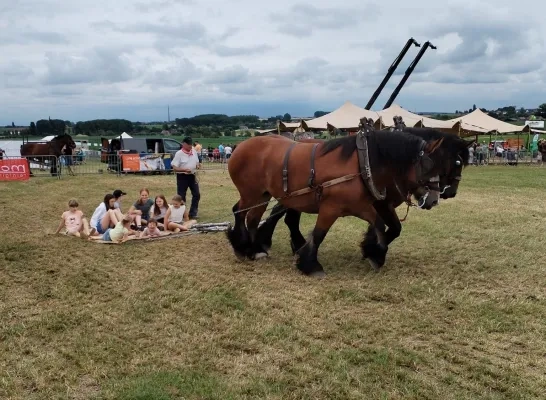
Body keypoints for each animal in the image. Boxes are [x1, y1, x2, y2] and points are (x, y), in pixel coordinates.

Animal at [225, 130, 446, 276]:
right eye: (429, 167)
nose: (435, 199)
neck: (362, 164)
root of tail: (240, 146)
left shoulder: (361, 206)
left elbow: (380, 226)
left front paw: (375, 253)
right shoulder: (330, 208)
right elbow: (318, 235)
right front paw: (310, 265)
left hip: (262, 195)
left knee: (252, 218)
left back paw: (254, 250)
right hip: (252, 194)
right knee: (240, 213)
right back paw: (244, 247)